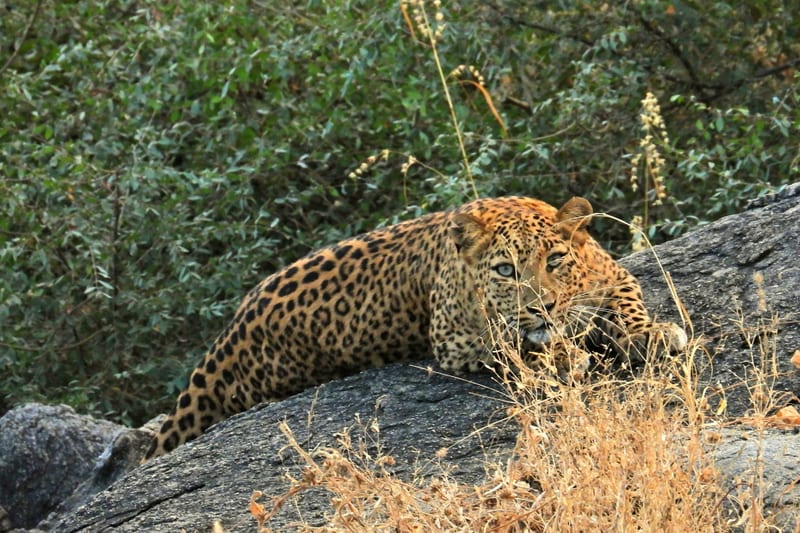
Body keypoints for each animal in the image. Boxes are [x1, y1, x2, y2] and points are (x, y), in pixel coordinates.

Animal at [144, 196, 687, 459]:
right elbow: (514, 348)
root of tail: (229, 332)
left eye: (555, 261)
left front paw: (649, 335)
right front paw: (561, 355)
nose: (544, 308)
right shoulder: (455, 341)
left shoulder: (612, 276)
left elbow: (628, 306)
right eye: (505, 271)